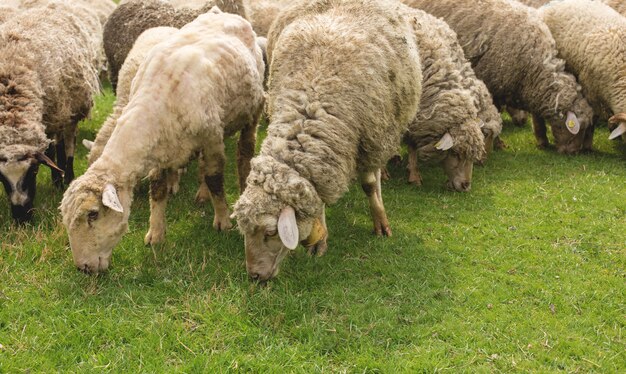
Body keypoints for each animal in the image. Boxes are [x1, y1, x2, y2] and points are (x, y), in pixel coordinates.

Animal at [0, 2, 98, 222]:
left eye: (34, 171)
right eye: (1, 178)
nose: (22, 217)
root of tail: (48, 7)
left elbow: (57, 149)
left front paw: (60, 180)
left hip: (67, 107)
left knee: (67, 143)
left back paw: (65, 177)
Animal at [58, 8, 264, 272]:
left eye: (93, 214)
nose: (83, 268)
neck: (155, 99)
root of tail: (223, 12)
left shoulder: (212, 139)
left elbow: (215, 179)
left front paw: (222, 220)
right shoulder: (159, 152)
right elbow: (157, 189)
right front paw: (155, 234)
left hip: (253, 110)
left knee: (244, 151)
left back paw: (241, 182)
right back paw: (202, 194)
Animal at [232, 0, 422, 280]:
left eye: (270, 232)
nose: (254, 276)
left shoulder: (367, 138)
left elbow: (368, 185)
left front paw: (379, 220)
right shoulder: (321, 163)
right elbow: (317, 198)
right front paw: (320, 240)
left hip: (384, 128)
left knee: (376, 170)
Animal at [402, 0, 592, 153]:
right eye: (575, 128)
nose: (572, 152)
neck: (532, 69)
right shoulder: (494, 86)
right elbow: (497, 115)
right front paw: (498, 143)